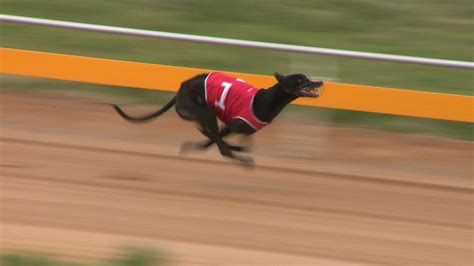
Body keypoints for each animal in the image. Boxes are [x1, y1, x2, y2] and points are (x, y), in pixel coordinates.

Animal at [113, 71, 324, 165]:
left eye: (307, 77)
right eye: (301, 80)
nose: (320, 81)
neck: (263, 101)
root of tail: (180, 89)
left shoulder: (242, 129)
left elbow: (238, 143)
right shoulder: (232, 125)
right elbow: (218, 143)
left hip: (202, 113)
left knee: (206, 131)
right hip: (204, 111)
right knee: (219, 143)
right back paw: (240, 159)